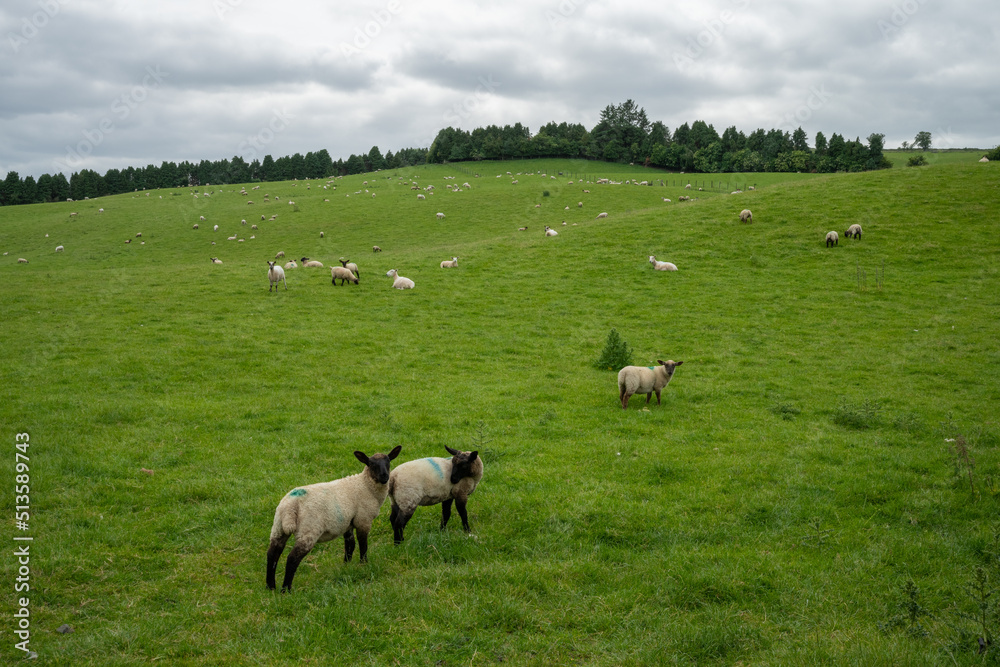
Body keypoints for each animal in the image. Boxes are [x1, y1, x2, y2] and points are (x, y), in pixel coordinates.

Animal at [270, 446, 406, 592]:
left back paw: (270, 587)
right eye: (371, 464)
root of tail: (290, 505)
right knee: (292, 558)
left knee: (272, 553)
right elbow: (363, 544)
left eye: (388, 462)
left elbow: (350, 545)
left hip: (278, 527)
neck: (365, 486)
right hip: (308, 530)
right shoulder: (363, 520)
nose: (385, 476)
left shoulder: (348, 523)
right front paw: (364, 563)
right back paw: (285, 590)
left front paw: (346, 565)